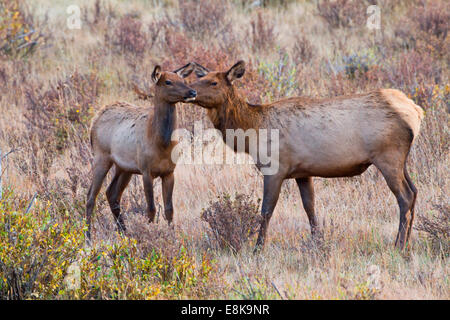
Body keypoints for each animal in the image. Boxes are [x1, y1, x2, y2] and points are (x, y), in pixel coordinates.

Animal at [85, 63, 196, 240]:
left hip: (124, 168)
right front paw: (149, 234)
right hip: (101, 157)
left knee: (112, 194)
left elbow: (169, 210)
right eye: (168, 82)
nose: (192, 92)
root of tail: (95, 120)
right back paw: (88, 236)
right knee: (91, 196)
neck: (162, 144)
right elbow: (151, 209)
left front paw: (173, 236)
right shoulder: (146, 170)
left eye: (183, 80)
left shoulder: (169, 172)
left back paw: (124, 232)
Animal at [188, 60, 424, 252]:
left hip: (388, 156)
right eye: (200, 78)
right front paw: (318, 243)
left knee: (404, 196)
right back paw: (407, 243)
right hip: (401, 160)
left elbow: (266, 211)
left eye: (213, 83)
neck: (252, 131)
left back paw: (398, 246)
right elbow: (310, 207)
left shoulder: (275, 168)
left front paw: (257, 249)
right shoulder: (302, 172)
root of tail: (416, 111)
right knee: (414, 191)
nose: (190, 91)